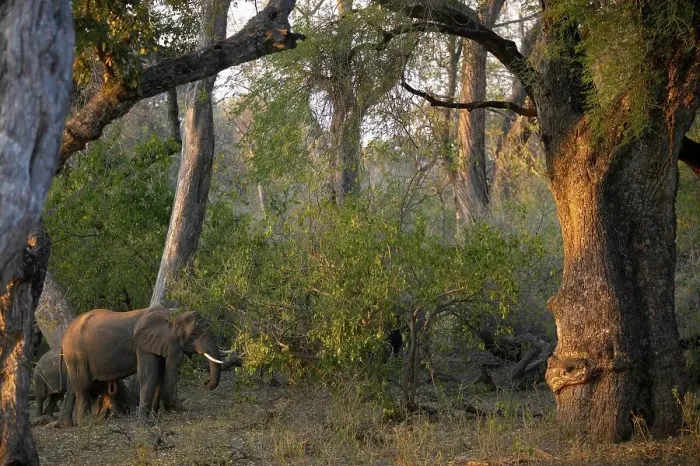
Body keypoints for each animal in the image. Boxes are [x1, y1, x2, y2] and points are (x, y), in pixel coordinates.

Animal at [59, 307, 222, 426]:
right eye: (193, 334)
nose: (205, 383)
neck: (169, 314)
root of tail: (65, 332)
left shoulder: (157, 344)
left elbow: (159, 376)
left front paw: (157, 420)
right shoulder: (142, 345)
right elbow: (149, 375)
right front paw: (146, 424)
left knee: (72, 385)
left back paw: (67, 424)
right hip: (77, 353)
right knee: (83, 386)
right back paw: (86, 424)